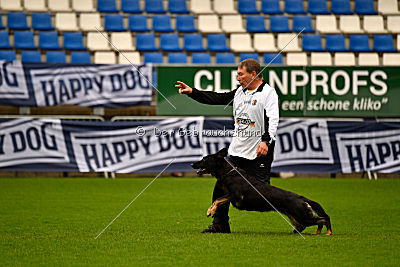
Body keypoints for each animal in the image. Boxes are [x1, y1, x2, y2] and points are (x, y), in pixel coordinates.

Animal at [192, 149, 332, 237]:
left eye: (204, 159)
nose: (192, 164)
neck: (229, 173)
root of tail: (302, 198)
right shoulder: (230, 196)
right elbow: (220, 199)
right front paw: (212, 210)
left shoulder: (236, 195)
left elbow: (218, 199)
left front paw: (210, 210)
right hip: (297, 218)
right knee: (313, 223)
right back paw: (317, 232)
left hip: (302, 216)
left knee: (324, 219)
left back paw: (328, 232)